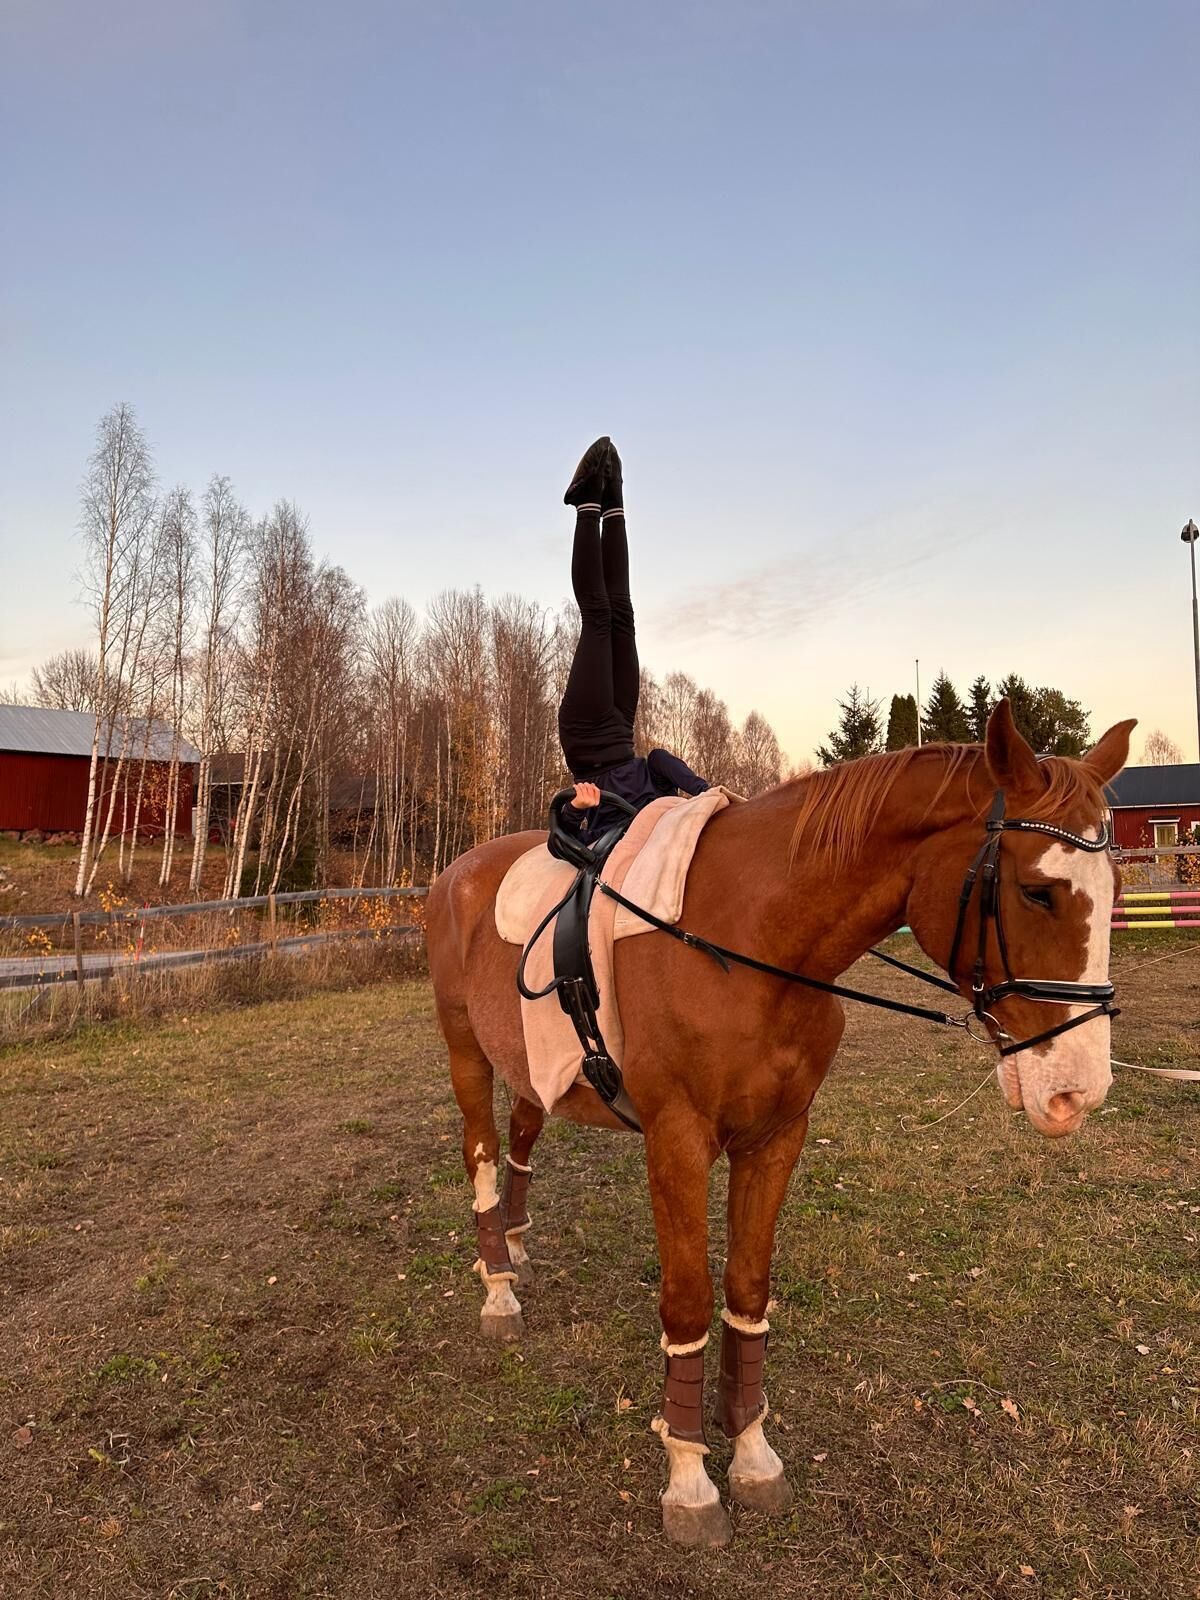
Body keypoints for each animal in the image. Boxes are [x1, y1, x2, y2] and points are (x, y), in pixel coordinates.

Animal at [425, 700, 1134, 1547]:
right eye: (1036, 892)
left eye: (1117, 885)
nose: (1078, 1091)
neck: (751, 939)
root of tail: (458, 871)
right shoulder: (677, 1142)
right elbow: (688, 1299)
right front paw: (690, 1479)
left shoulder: (777, 1138)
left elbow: (748, 1290)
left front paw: (753, 1454)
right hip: (467, 1052)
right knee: (482, 1153)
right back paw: (498, 1287)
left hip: (534, 1066)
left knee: (523, 1143)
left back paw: (519, 1250)